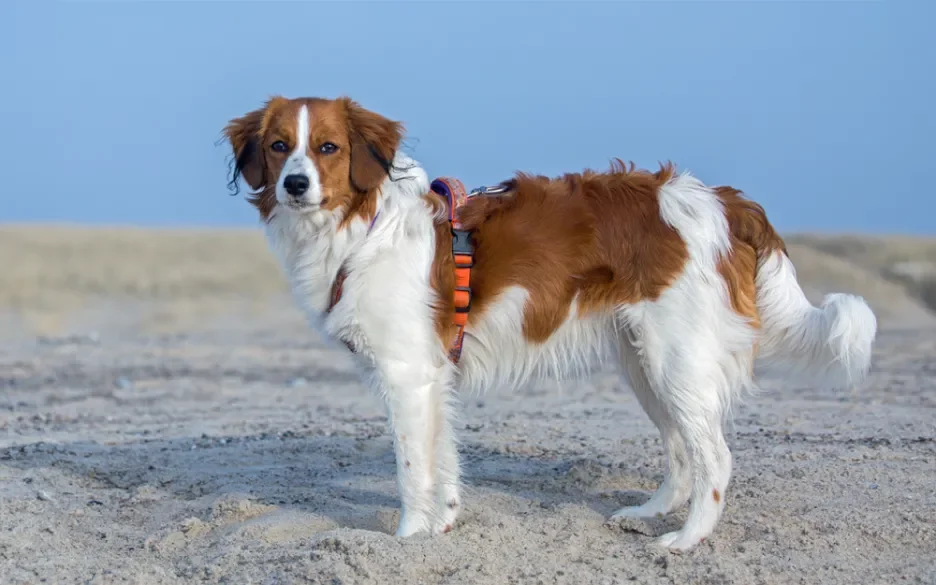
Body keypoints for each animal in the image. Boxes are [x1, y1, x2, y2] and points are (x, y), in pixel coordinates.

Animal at [221, 97, 876, 552]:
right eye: (279, 145)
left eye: (328, 147)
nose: (295, 184)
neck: (362, 229)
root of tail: (723, 200)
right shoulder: (432, 376)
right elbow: (442, 460)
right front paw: (442, 528)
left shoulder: (407, 375)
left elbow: (412, 470)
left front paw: (404, 541)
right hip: (645, 363)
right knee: (680, 450)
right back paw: (649, 514)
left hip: (677, 359)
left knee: (714, 457)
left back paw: (686, 541)